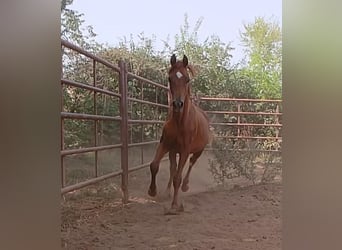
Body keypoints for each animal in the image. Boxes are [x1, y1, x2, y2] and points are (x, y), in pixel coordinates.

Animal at [148, 53, 210, 212]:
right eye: (170, 78)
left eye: (187, 79)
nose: (177, 104)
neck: (179, 122)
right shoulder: (165, 145)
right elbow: (154, 165)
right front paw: (152, 191)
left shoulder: (184, 150)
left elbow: (178, 177)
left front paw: (175, 205)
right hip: (172, 151)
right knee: (172, 169)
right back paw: (166, 192)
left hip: (198, 151)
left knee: (191, 164)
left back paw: (186, 186)